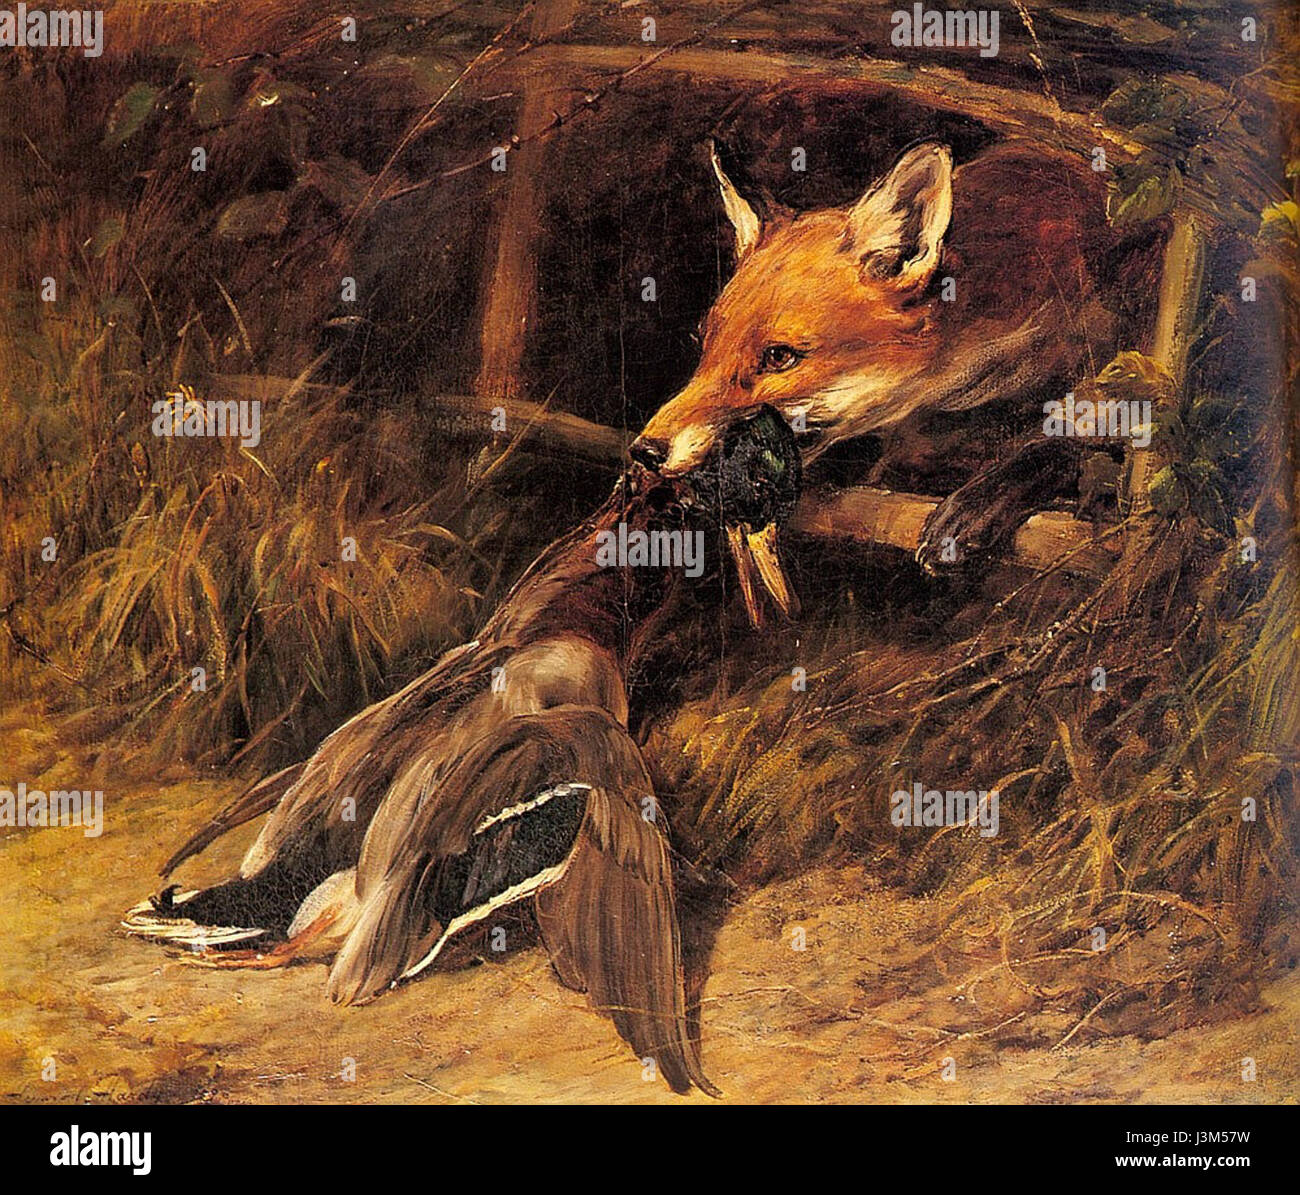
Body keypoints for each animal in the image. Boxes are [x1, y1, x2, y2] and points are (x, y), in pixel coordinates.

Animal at [630, 138, 1163, 571]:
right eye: (705, 343)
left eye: (779, 357)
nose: (644, 451)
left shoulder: (1126, 341)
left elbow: (1070, 432)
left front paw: (979, 501)